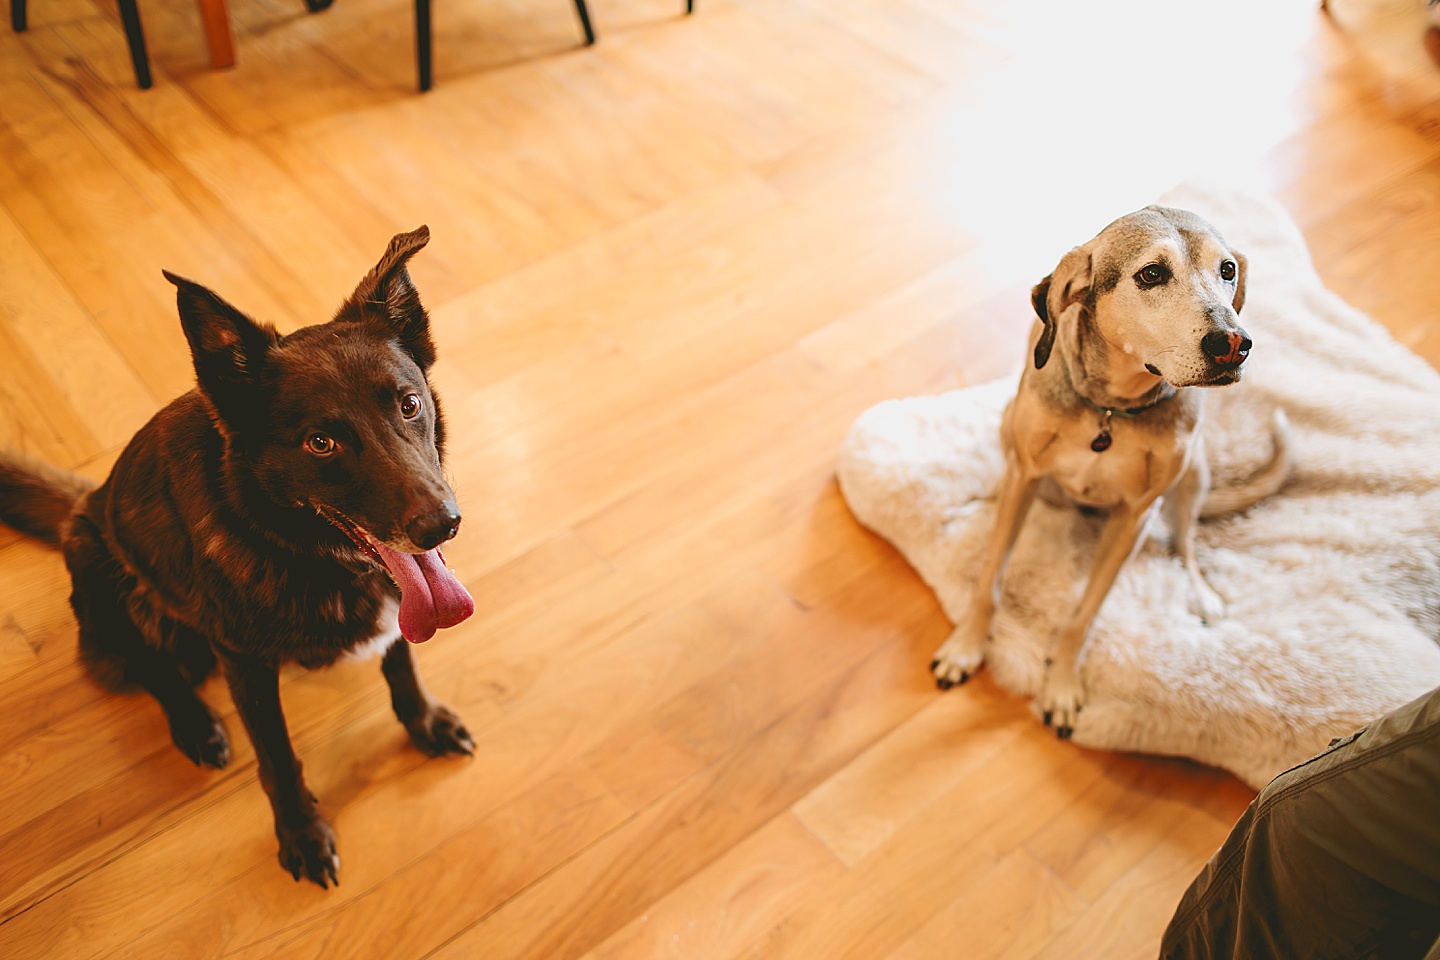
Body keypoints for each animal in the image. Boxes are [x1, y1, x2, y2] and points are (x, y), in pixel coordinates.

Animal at [0, 228, 475, 892]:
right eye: (320, 442)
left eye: (409, 405)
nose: (441, 525)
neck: (301, 551)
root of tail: (84, 501)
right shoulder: (245, 664)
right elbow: (277, 755)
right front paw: (301, 833)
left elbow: (402, 665)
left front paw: (424, 722)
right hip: (97, 567)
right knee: (148, 663)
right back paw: (195, 724)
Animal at [933, 208, 1296, 736]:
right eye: (1152, 274)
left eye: (1227, 270)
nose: (1233, 344)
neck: (1110, 409)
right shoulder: (1024, 475)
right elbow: (989, 579)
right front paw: (966, 646)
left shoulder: (1135, 518)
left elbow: (1083, 615)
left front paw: (1061, 684)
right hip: (1009, 432)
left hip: (1193, 473)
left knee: (1185, 542)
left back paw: (1200, 593)